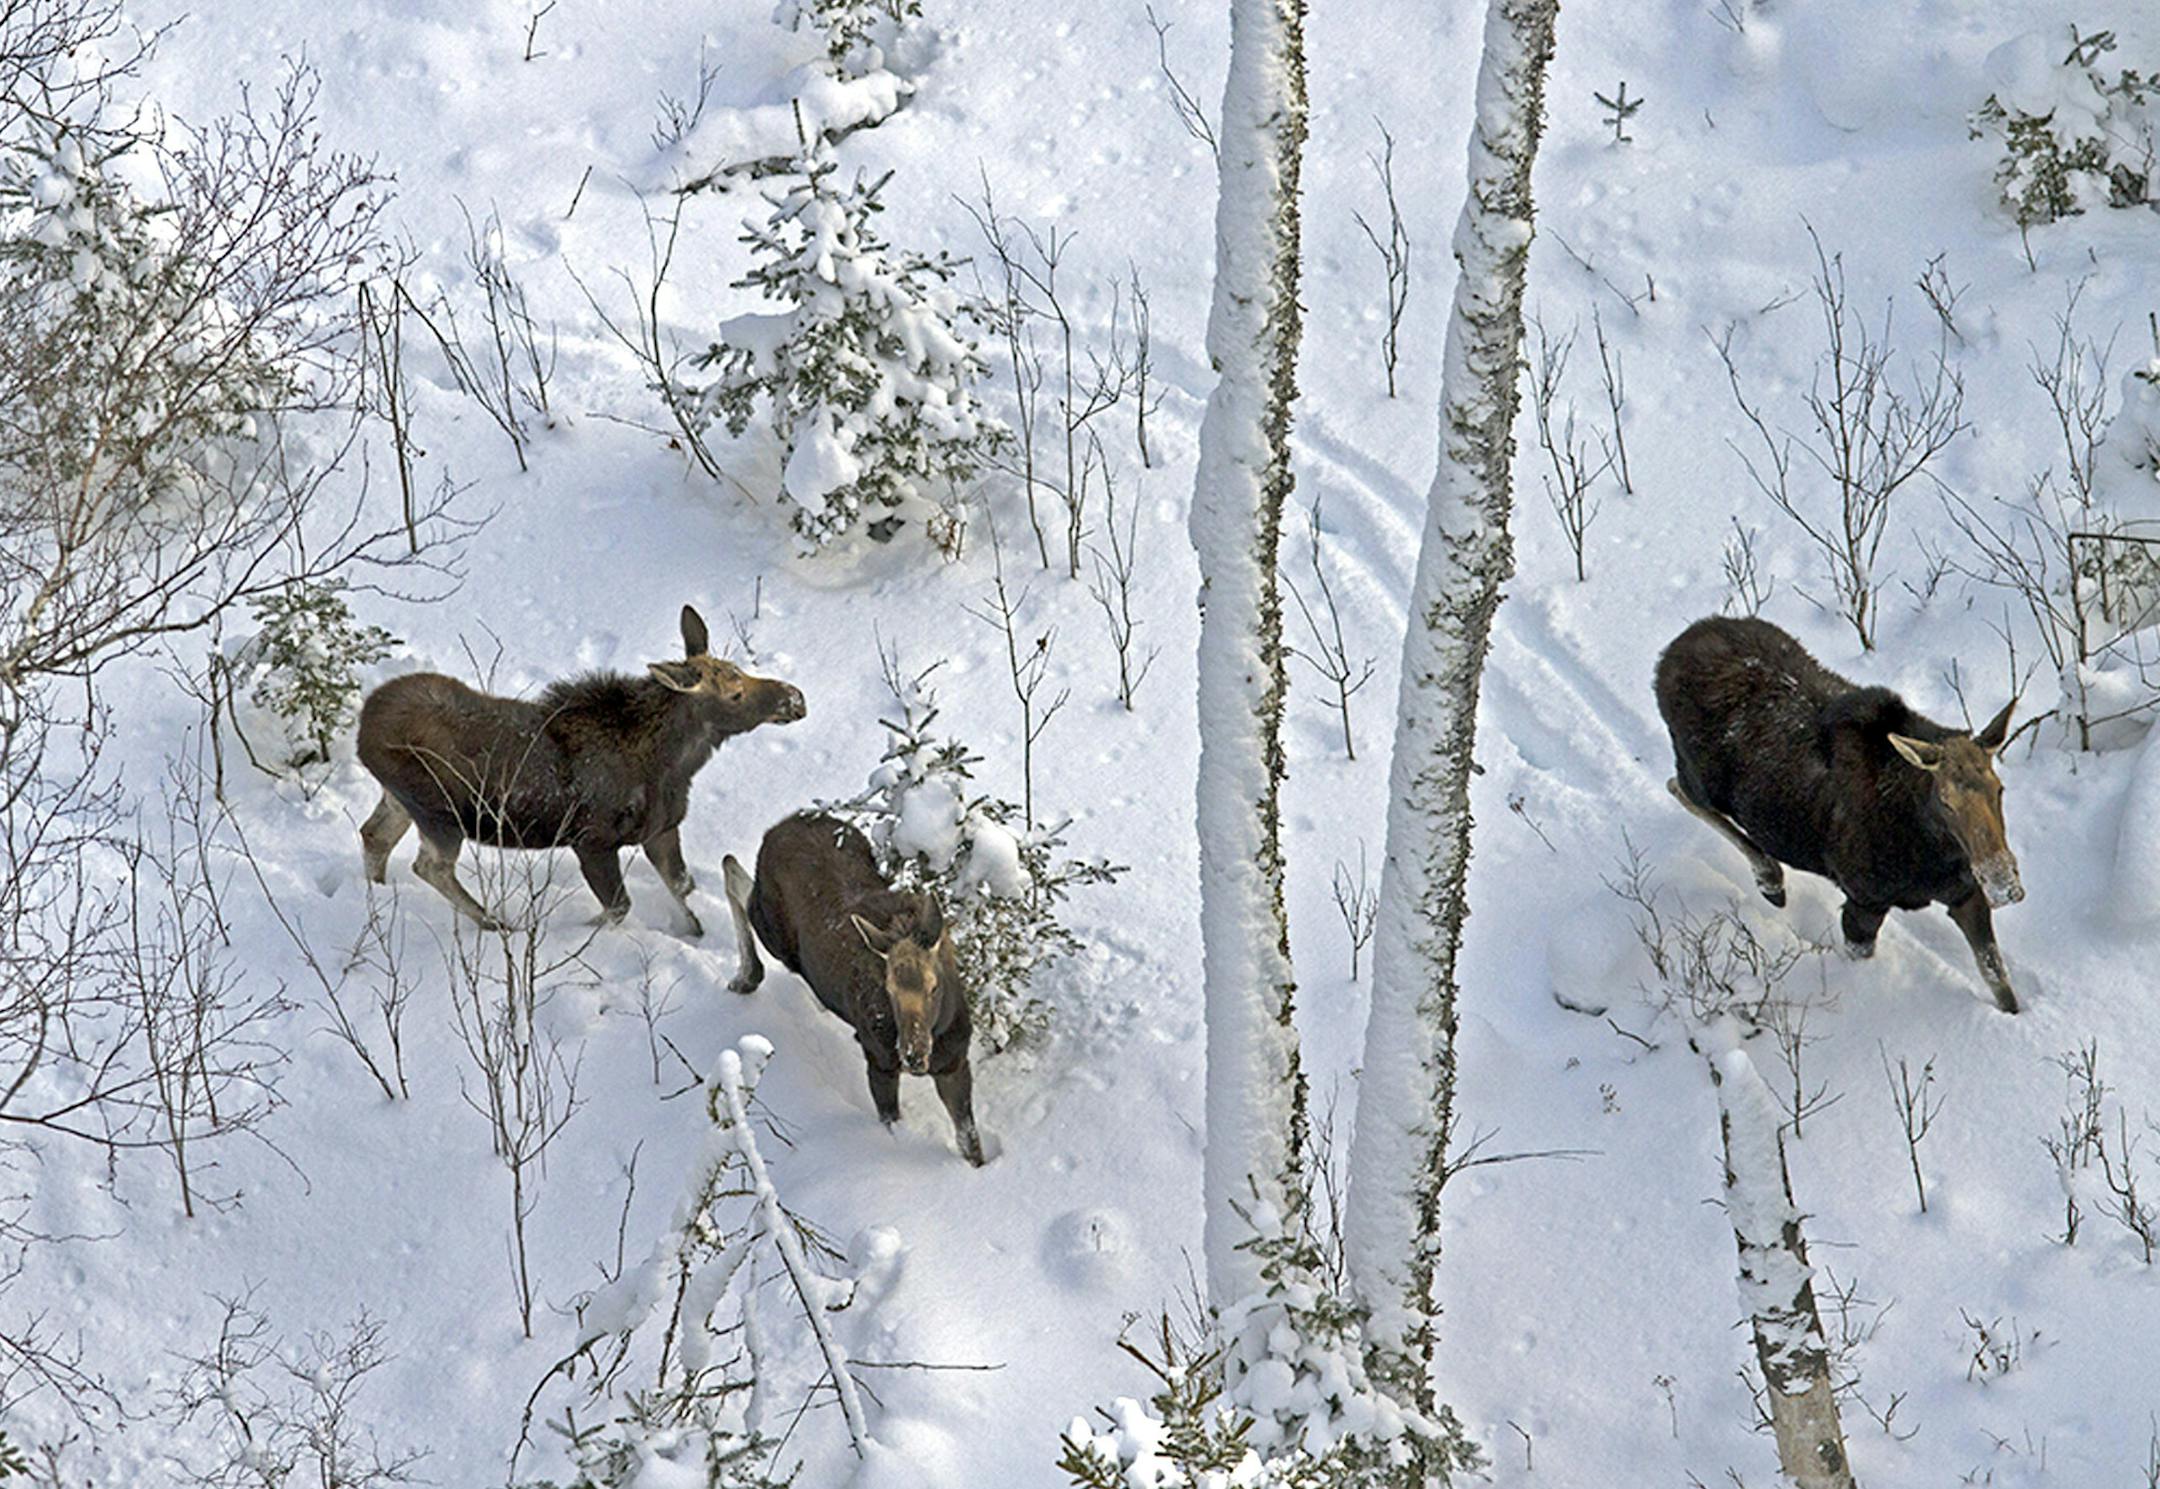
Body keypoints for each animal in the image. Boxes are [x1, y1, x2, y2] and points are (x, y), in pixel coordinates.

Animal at [355, 606, 805, 933]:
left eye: (741, 670)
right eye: (735, 693)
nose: (795, 697)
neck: (673, 766)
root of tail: (362, 729)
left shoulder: (661, 829)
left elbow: (681, 886)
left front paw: (692, 929)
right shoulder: (592, 841)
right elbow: (619, 906)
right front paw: (581, 930)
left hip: (400, 799)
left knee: (374, 836)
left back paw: (378, 895)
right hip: (439, 813)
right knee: (429, 865)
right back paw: (494, 922)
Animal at [722, 811, 986, 1166]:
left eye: (934, 987)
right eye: (888, 989)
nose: (913, 1055)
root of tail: (779, 826)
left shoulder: (954, 1062)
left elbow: (971, 1145)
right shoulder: (878, 1061)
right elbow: (892, 1124)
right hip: (774, 931)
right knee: (734, 873)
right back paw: (747, 976)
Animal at [1655, 615, 2024, 1012]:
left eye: (1999, 789)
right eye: (1945, 801)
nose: (2003, 883)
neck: (1930, 850)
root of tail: (1669, 652)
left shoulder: (1965, 893)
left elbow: (2000, 982)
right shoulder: (1864, 902)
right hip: (1702, 781)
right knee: (1678, 788)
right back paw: (1770, 880)